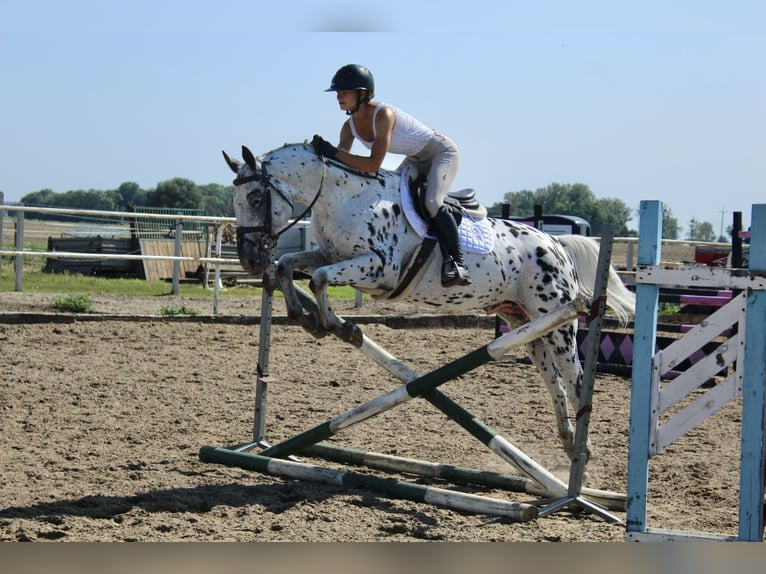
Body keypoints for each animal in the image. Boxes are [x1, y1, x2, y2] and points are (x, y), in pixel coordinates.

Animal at [224, 142, 636, 462]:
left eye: (256, 198)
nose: (249, 260)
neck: (345, 197)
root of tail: (556, 243)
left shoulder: (379, 269)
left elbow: (321, 278)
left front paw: (339, 327)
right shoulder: (331, 256)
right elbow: (290, 267)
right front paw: (305, 318)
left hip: (559, 322)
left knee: (576, 378)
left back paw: (583, 451)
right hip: (526, 325)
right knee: (553, 380)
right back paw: (566, 441)